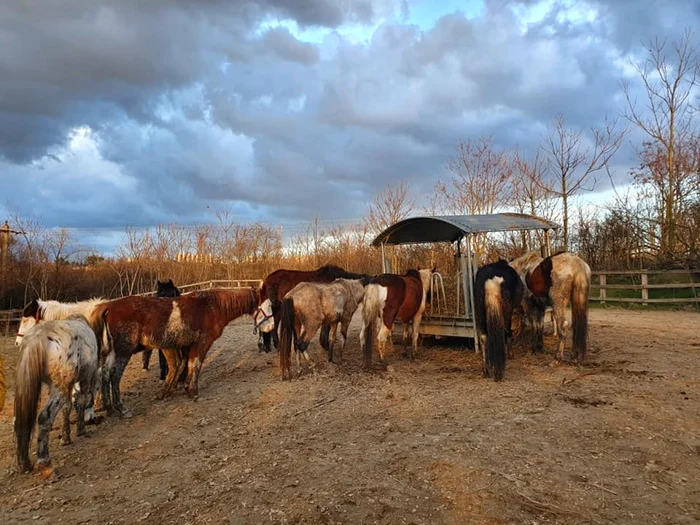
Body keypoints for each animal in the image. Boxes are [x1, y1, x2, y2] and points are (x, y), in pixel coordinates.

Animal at [13, 310, 110, 472]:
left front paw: (66, 437)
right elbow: (81, 400)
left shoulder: (68, 386)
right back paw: (43, 459)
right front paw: (80, 429)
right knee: (45, 417)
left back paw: (25, 463)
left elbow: (67, 407)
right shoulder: (85, 378)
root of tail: (37, 338)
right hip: (58, 389)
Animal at [91, 286, 258, 414]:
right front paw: (192, 391)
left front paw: (180, 389)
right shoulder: (202, 343)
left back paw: (108, 407)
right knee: (114, 376)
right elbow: (195, 365)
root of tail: (108, 307)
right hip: (123, 353)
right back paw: (121, 408)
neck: (211, 306)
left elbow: (185, 365)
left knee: (104, 374)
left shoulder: (185, 346)